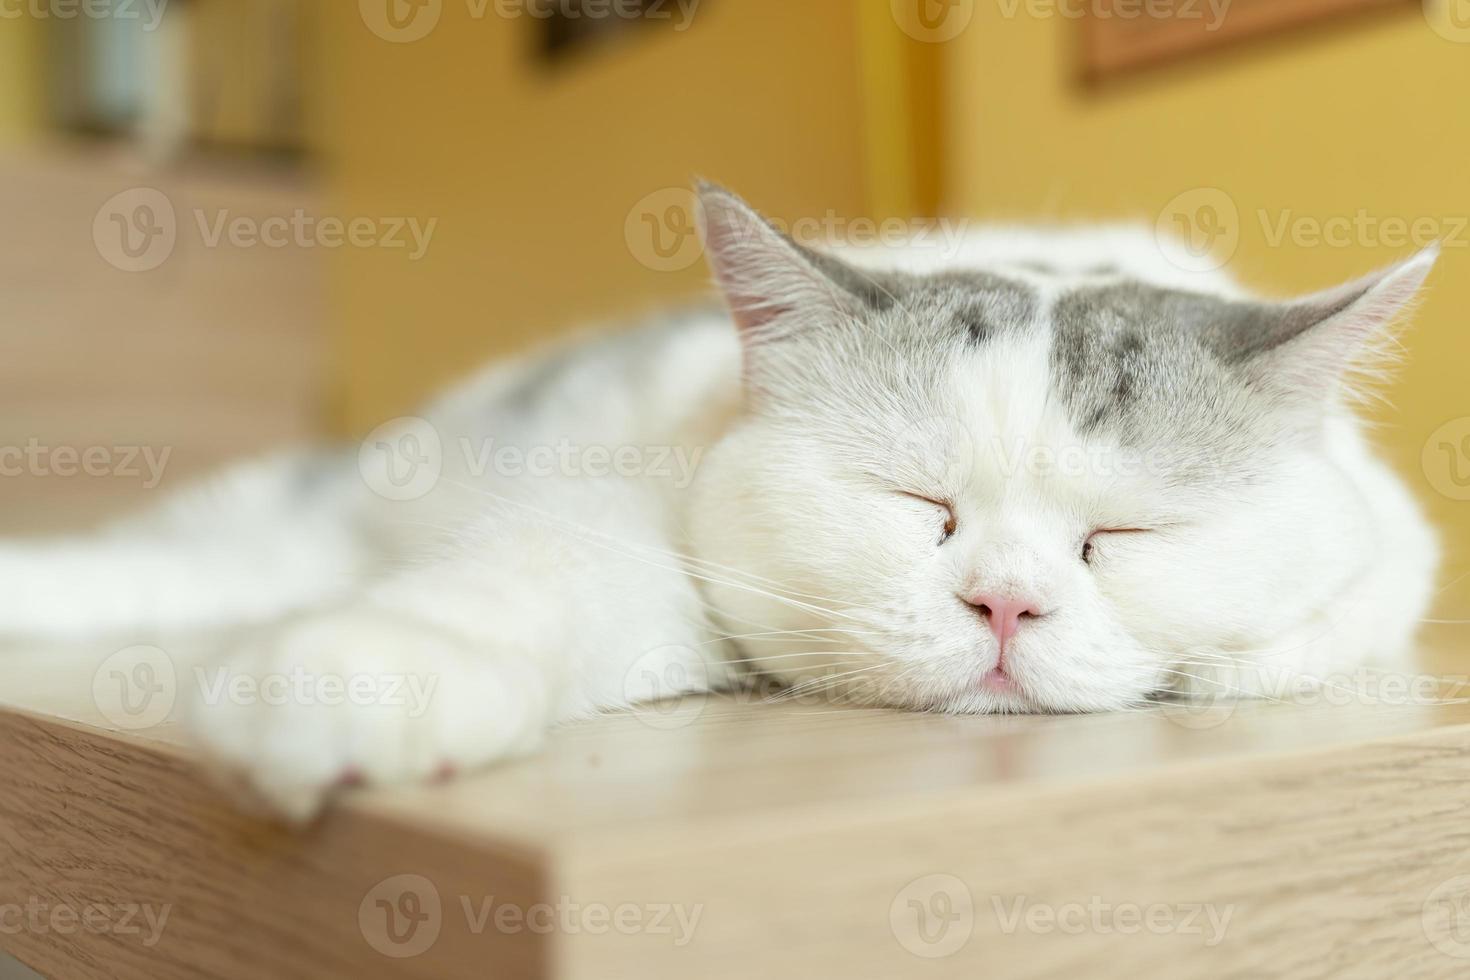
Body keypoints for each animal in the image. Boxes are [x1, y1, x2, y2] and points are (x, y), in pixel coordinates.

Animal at [5, 183, 1440, 822]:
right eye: (916, 503)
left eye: (1120, 536)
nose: (1004, 604)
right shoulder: (641, 525)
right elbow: (516, 582)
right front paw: (357, 685)